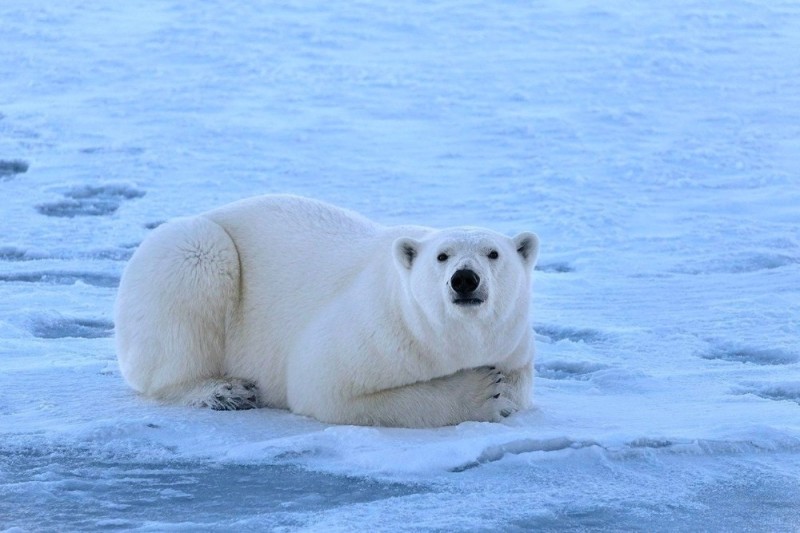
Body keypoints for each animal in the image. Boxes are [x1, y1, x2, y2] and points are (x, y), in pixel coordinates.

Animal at [114, 193, 536, 426]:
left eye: (493, 253)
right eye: (442, 255)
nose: (464, 279)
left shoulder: (513, 342)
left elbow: (519, 384)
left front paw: (502, 393)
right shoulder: (380, 328)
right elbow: (327, 386)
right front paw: (484, 393)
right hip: (189, 251)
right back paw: (223, 390)